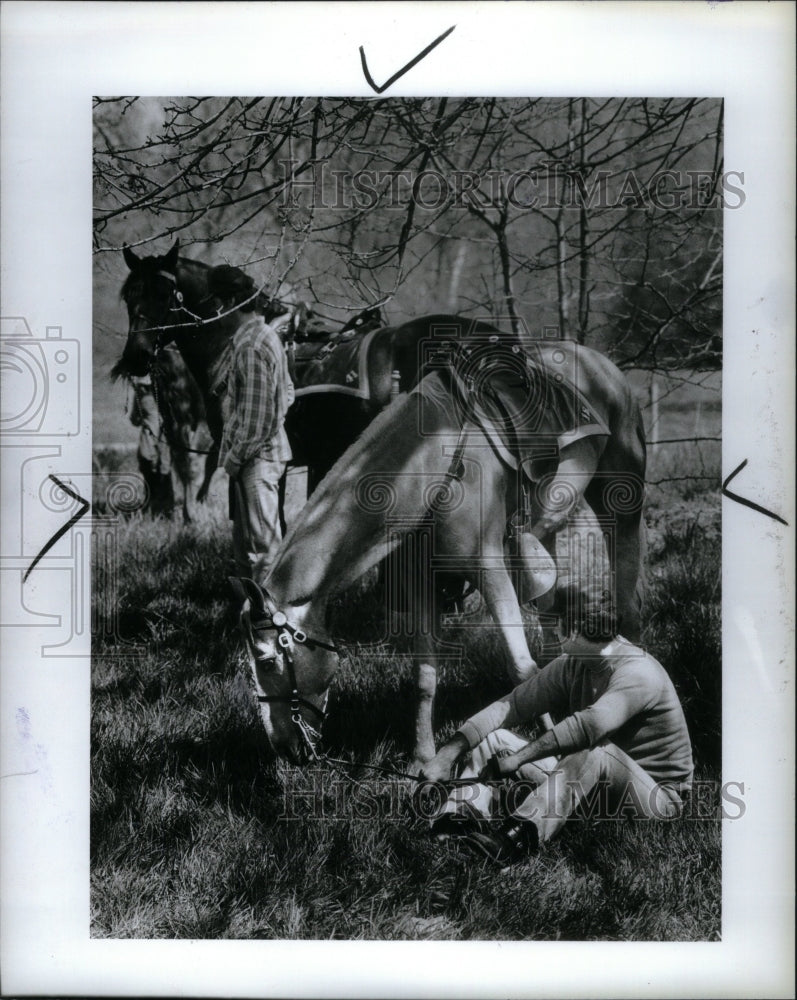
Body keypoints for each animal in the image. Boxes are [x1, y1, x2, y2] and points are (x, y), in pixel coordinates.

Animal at [229, 338, 648, 764]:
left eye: (266, 660)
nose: (285, 748)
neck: (427, 467)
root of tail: (598, 362)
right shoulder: (419, 583)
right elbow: (424, 675)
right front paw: (422, 757)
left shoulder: (489, 566)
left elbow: (521, 670)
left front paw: (546, 757)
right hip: (544, 525)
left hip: (621, 499)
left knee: (627, 594)